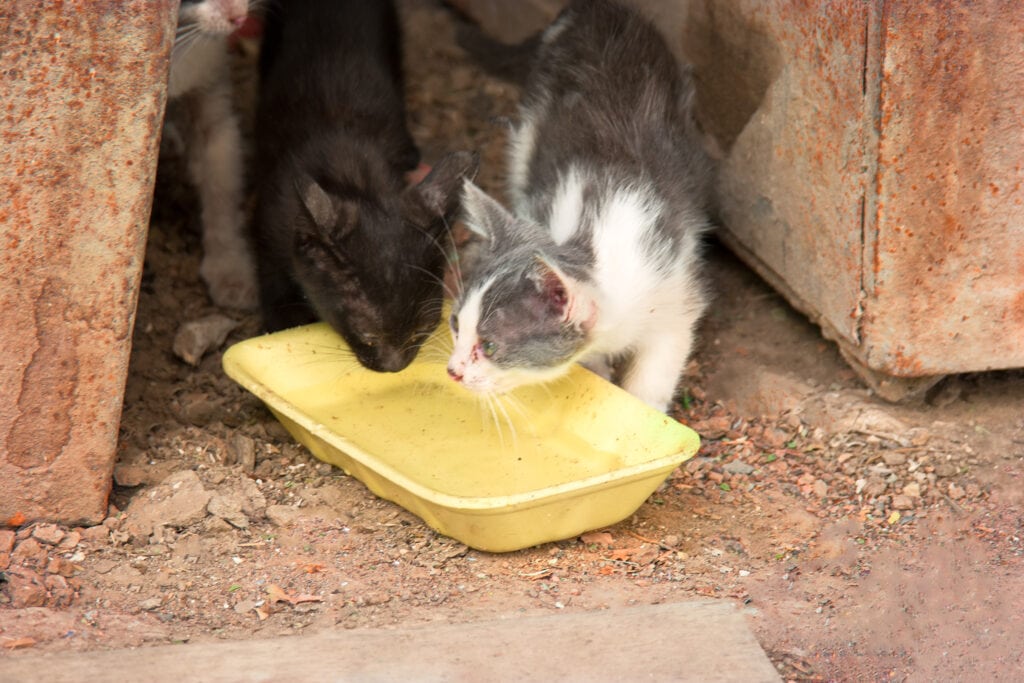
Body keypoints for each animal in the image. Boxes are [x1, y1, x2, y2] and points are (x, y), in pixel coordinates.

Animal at [256, 0, 479, 370]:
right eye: (369, 335)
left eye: (423, 330)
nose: (395, 366)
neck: (355, 178)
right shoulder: (266, 234)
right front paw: (281, 323)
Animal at [448, 0, 712, 411]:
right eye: (455, 324)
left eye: (489, 346)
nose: (453, 370)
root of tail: (593, 8)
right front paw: (599, 373)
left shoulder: (676, 294)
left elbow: (660, 362)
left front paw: (643, 407)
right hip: (527, 133)